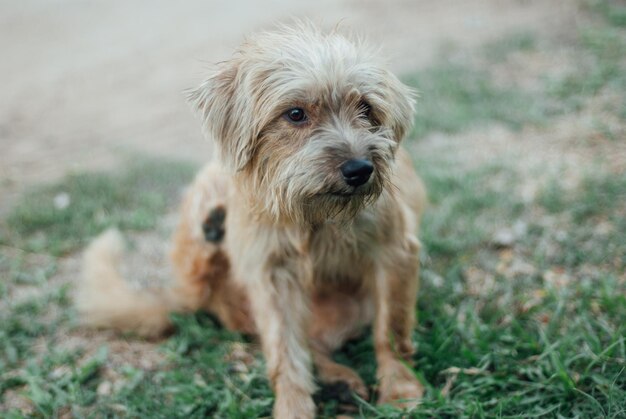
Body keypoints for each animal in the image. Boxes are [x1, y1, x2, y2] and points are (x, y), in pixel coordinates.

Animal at [77, 23, 424, 419]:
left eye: (366, 108)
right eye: (295, 113)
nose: (360, 169)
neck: (311, 217)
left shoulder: (393, 253)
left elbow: (391, 330)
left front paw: (400, 390)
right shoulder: (271, 274)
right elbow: (284, 351)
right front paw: (292, 408)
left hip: (348, 308)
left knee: (314, 343)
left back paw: (337, 380)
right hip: (210, 198)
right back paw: (214, 226)